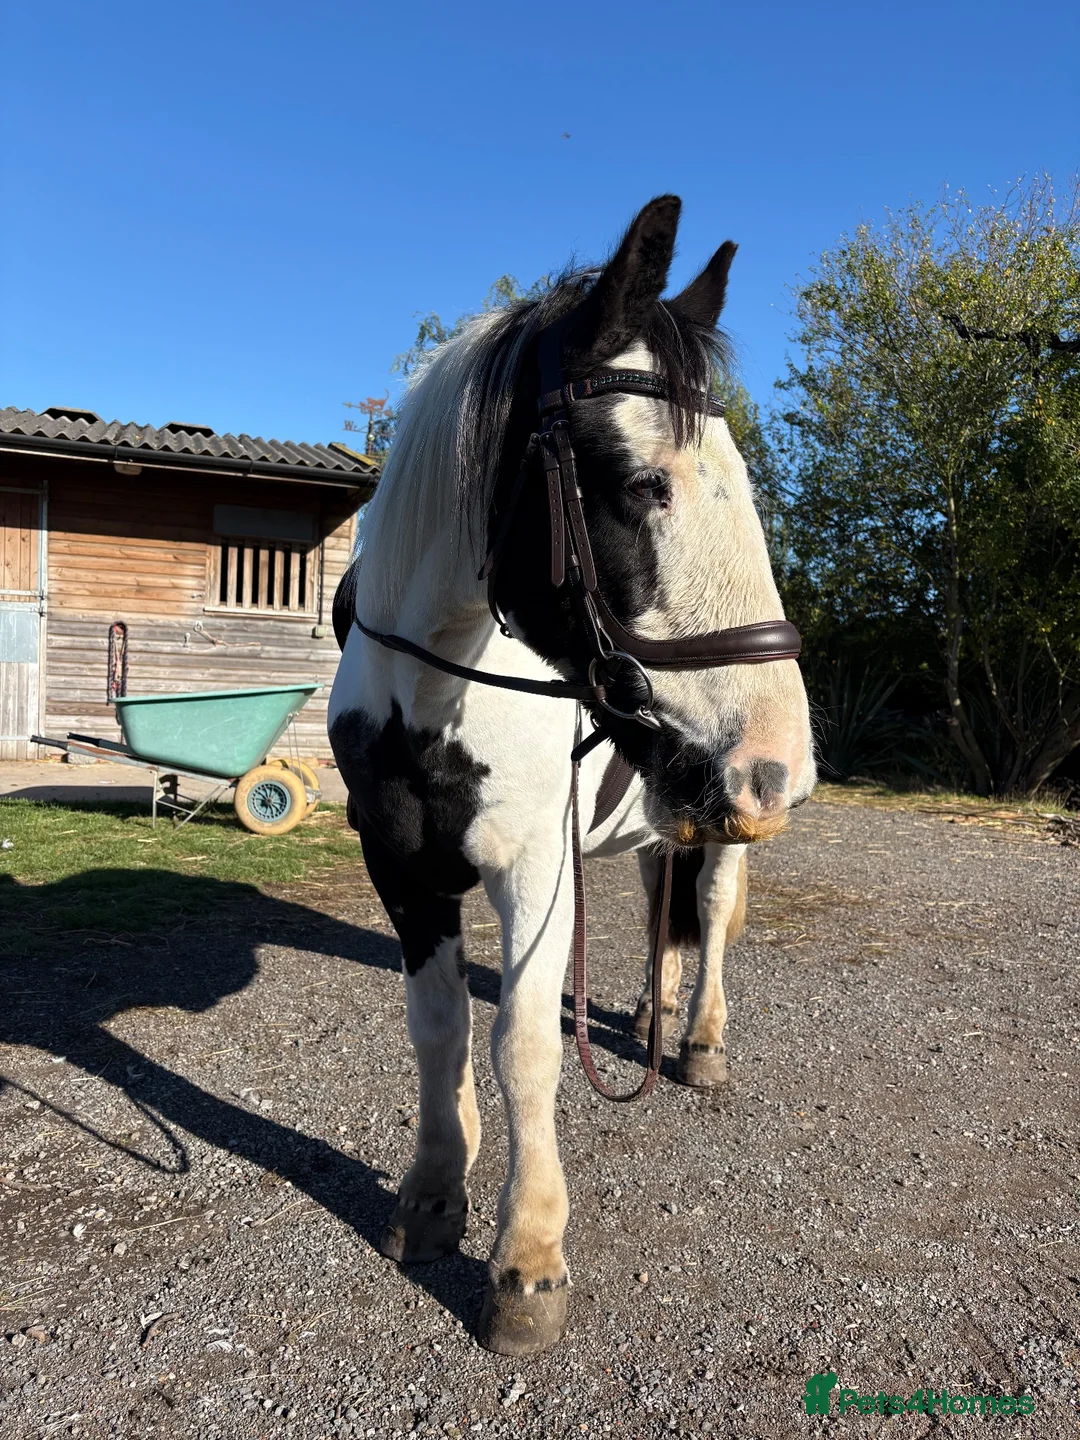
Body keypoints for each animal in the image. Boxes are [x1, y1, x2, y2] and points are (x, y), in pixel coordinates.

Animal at [328, 196, 816, 1356]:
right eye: (644, 485)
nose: (784, 762)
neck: (432, 688)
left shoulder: (538, 875)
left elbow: (523, 1048)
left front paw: (526, 1260)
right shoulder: (401, 867)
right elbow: (439, 1028)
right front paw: (431, 1196)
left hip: (716, 831)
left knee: (709, 918)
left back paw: (699, 1041)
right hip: (668, 815)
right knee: (659, 910)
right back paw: (647, 1012)